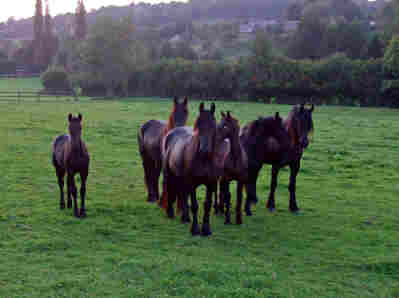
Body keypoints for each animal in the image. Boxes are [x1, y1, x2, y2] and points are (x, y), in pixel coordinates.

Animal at [162, 103, 231, 236]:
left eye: (213, 126)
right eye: (198, 124)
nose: (204, 150)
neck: (203, 159)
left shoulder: (211, 183)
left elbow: (207, 205)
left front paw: (206, 229)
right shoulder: (192, 182)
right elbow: (194, 205)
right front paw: (195, 229)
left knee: (183, 194)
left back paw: (185, 217)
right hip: (170, 174)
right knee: (170, 188)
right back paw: (170, 212)